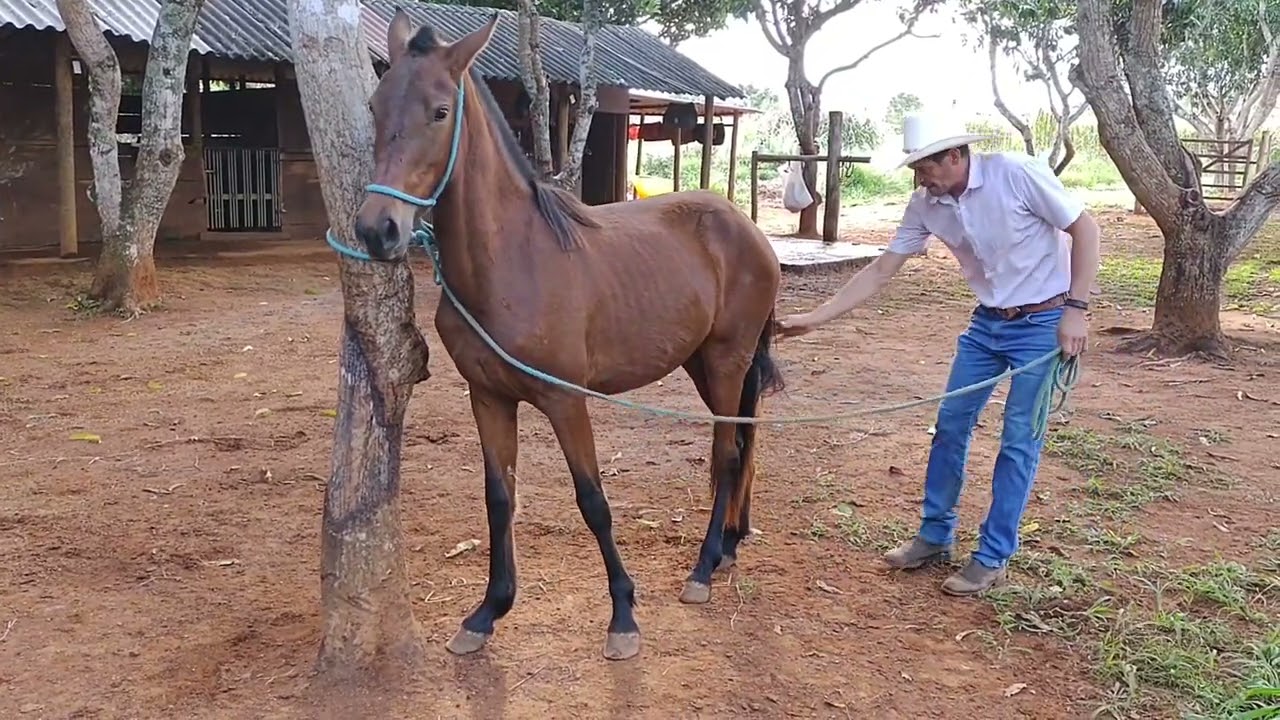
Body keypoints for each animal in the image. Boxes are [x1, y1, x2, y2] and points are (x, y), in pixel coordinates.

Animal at [353, 12, 778, 661]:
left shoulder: (564, 400)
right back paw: (730, 544)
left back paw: (705, 567)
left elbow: (593, 501)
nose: (379, 230)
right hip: (702, 363)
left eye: (440, 111)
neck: (512, 262)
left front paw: (623, 616)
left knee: (728, 454)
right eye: (376, 106)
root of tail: (746, 227)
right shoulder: (489, 397)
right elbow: (499, 498)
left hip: (729, 360)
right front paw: (487, 611)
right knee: (743, 443)